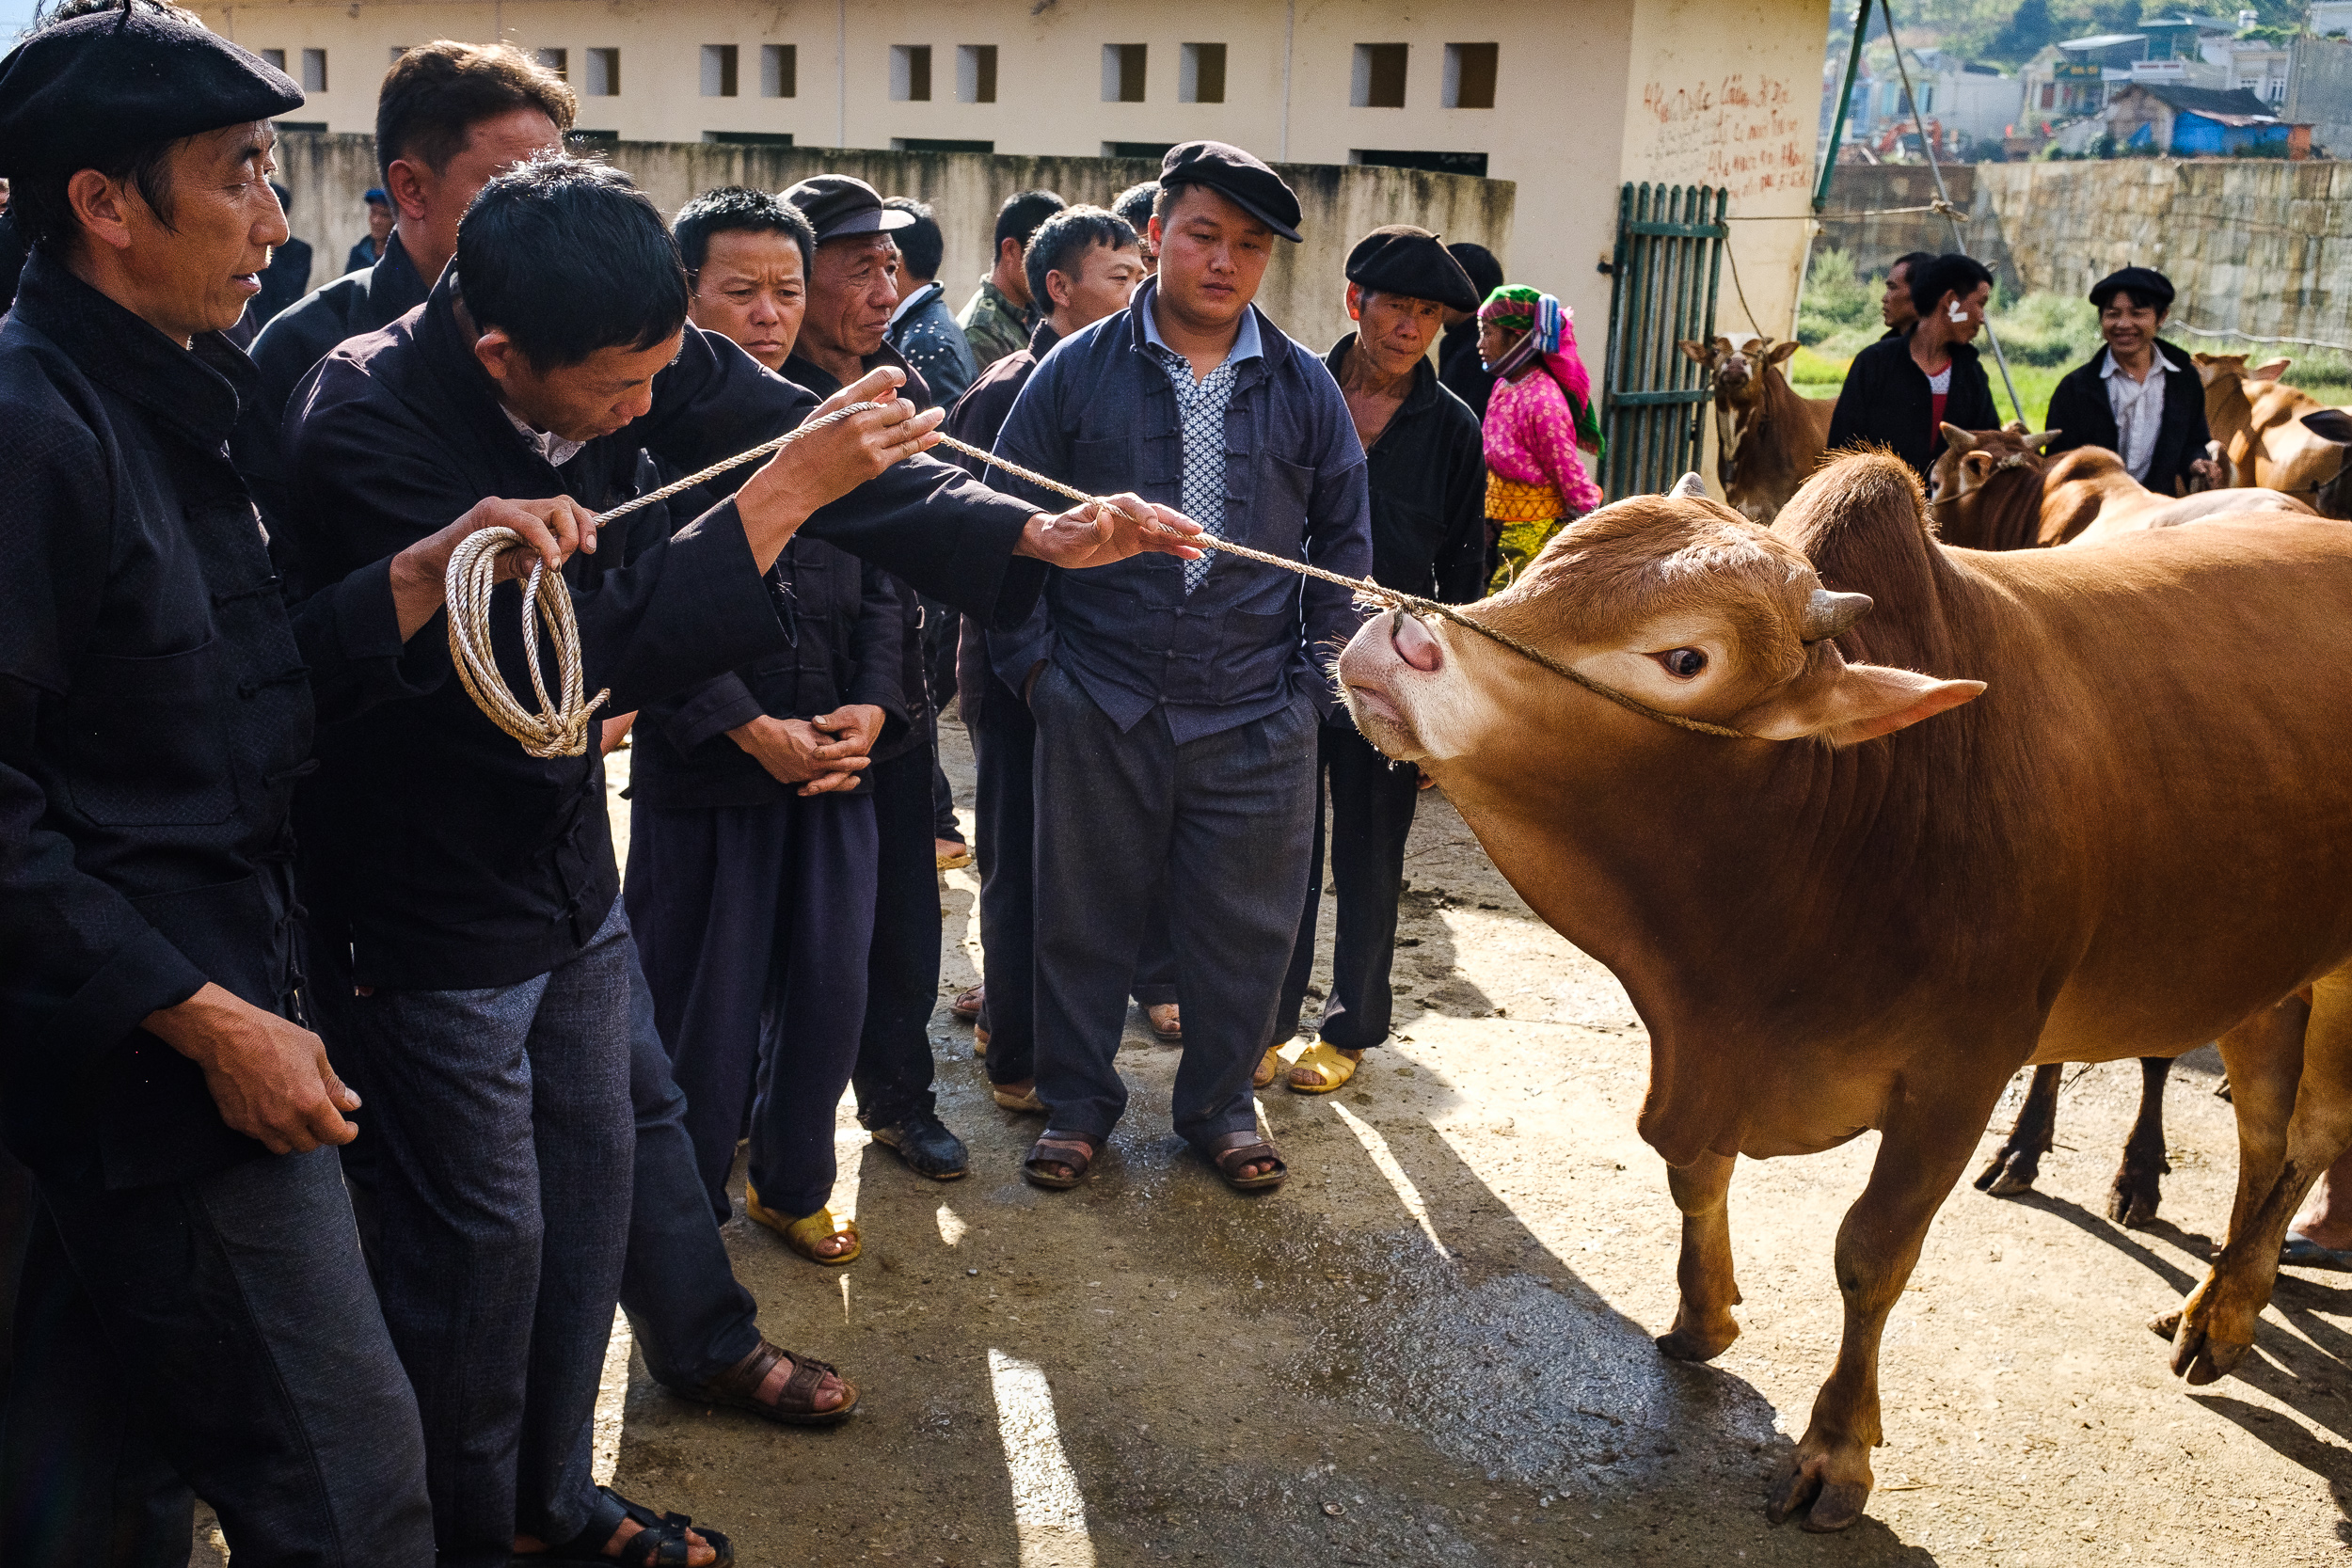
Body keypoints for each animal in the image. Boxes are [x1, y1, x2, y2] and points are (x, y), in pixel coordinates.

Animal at [1345, 451, 2352, 1532]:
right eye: (1542, 569)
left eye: (1685, 658)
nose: (1394, 638)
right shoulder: (1701, 1047)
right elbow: (1693, 1175)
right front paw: (1702, 1314)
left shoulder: (1957, 1077)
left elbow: (1870, 1254)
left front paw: (1836, 1449)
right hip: (2259, 965)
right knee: (2263, 1131)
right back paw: (2221, 1300)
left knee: (2311, 1131)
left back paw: (2227, 1309)